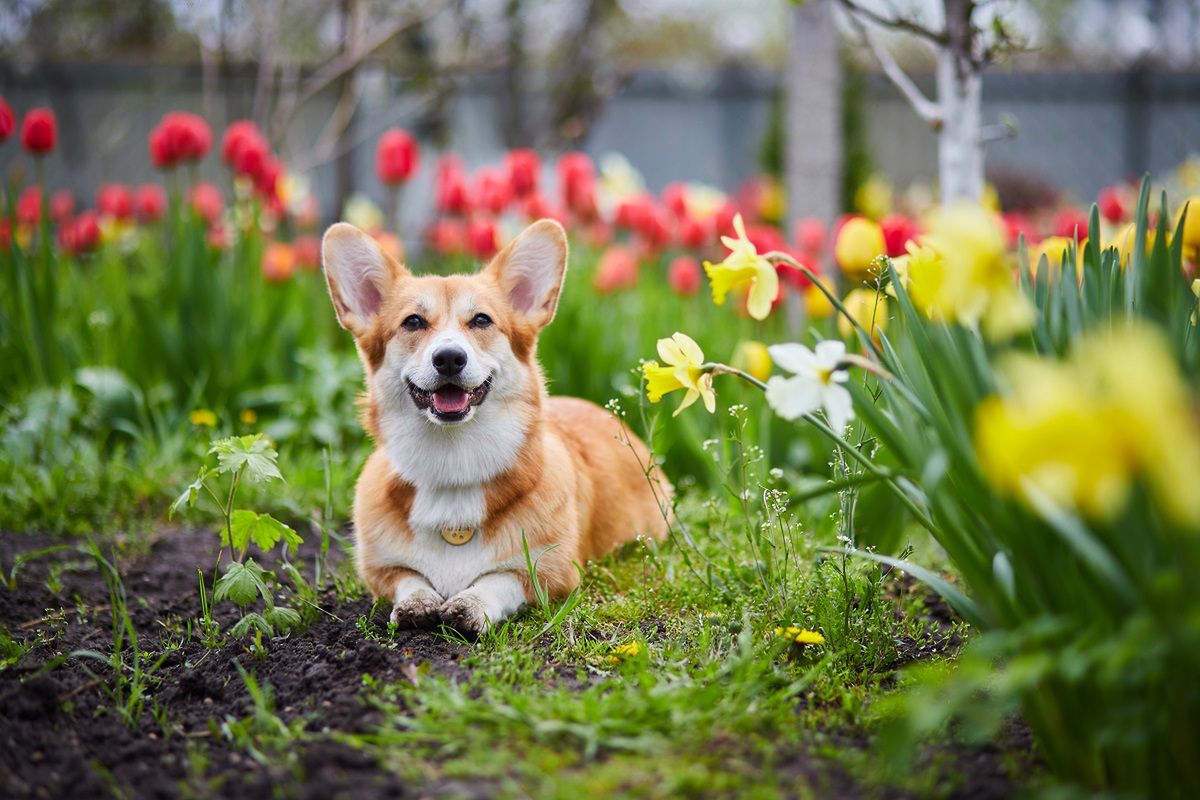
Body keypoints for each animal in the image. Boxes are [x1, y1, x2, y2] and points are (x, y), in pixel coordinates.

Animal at [324, 220, 672, 638]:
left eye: (481, 320)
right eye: (412, 322)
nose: (449, 358)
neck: (453, 465)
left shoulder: (553, 571)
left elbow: (499, 578)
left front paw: (471, 604)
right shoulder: (379, 569)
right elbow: (408, 577)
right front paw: (417, 603)